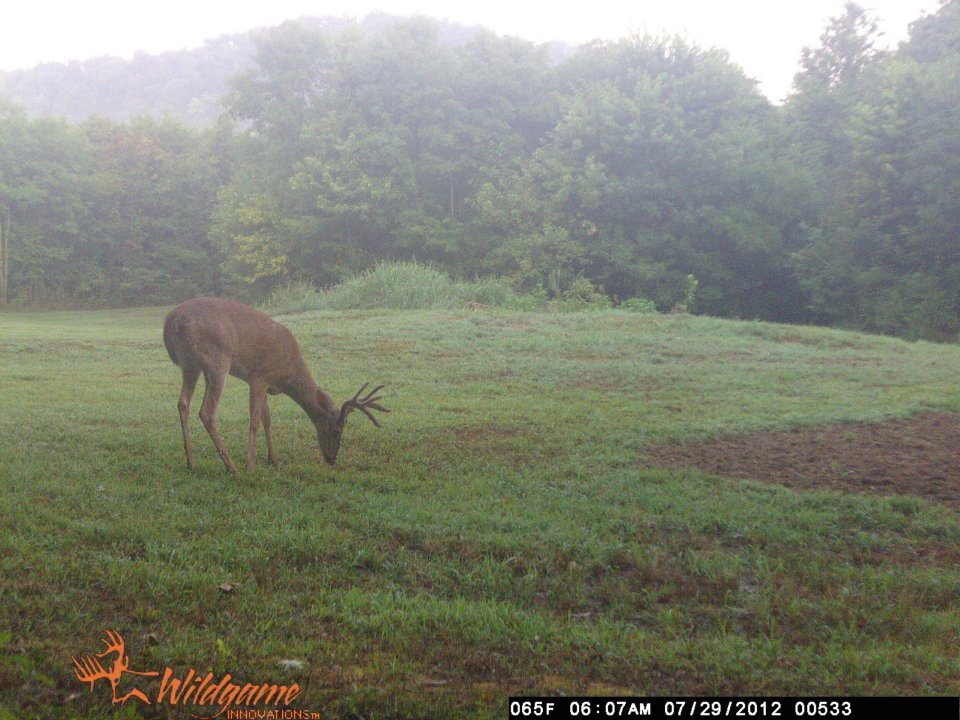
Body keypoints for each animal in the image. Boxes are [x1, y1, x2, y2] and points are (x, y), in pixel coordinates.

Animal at [162, 297, 388, 473]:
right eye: (337, 431)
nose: (332, 459)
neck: (288, 374)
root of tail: (170, 321)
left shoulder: (266, 384)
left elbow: (267, 419)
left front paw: (274, 459)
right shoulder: (259, 376)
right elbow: (255, 420)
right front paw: (250, 465)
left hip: (190, 364)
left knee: (182, 403)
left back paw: (191, 463)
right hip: (217, 361)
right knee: (207, 412)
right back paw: (232, 467)